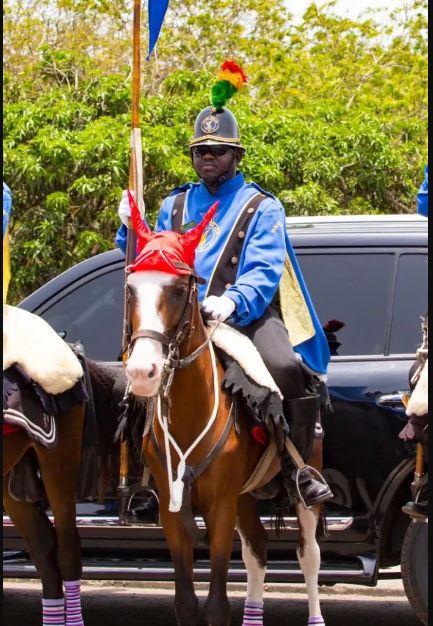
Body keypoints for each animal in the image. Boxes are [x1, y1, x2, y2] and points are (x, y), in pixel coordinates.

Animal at [123, 202, 326, 620]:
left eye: (179, 289)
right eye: (131, 289)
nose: (142, 371)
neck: (189, 415)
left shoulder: (220, 507)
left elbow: (217, 603)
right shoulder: (174, 511)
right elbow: (186, 600)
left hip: (302, 488)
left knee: (309, 556)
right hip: (245, 496)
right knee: (258, 551)